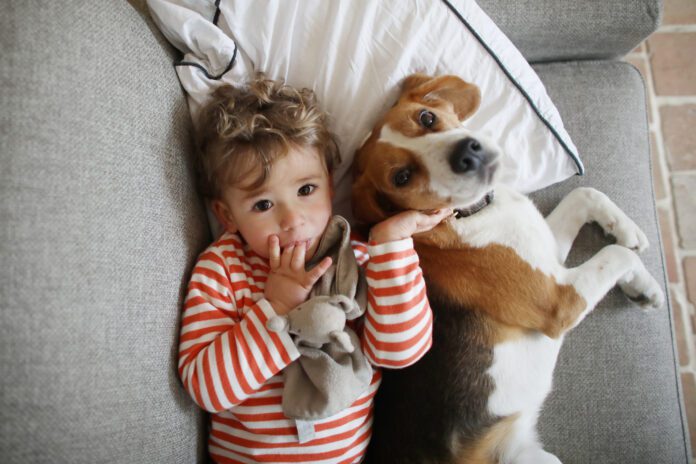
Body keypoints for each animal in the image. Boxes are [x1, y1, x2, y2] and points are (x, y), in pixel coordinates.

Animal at [354, 74, 664, 462]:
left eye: (427, 118)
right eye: (402, 177)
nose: (467, 153)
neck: (471, 213)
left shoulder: (546, 254)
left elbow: (585, 195)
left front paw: (629, 239)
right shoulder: (558, 298)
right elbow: (617, 255)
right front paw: (643, 281)